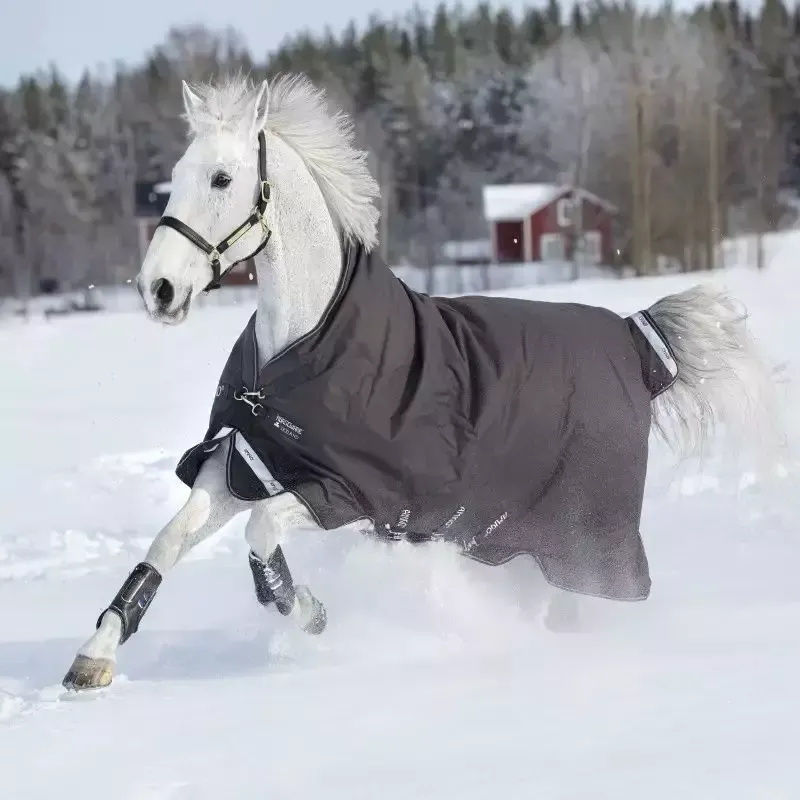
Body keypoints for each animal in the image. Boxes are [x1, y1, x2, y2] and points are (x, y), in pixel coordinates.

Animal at [62, 74, 780, 692]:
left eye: (222, 178)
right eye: (175, 179)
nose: (158, 290)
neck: (300, 346)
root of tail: (635, 335)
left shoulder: (347, 492)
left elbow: (262, 534)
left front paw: (309, 613)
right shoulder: (242, 461)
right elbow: (170, 539)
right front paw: (92, 659)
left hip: (583, 537)